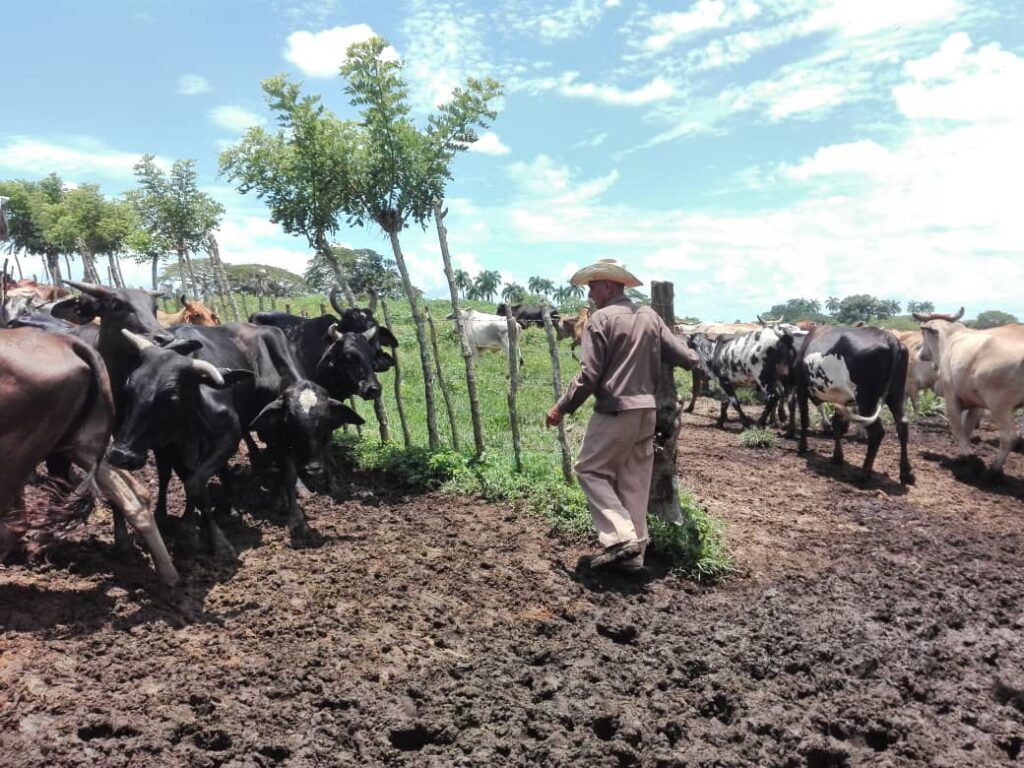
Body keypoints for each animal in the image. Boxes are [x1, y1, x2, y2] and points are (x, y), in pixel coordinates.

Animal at [0, 327, 178, 585]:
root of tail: (67, 342)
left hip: (18, 449)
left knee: (15, 522)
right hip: (83, 445)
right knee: (135, 495)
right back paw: (167, 573)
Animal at [790, 325, 913, 483]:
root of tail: (890, 338)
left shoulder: (801, 387)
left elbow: (805, 419)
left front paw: (802, 446)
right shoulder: (840, 399)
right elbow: (837, 424)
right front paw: (837, 457)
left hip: (867, 398)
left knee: (877, 432)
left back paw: (863, 473)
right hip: (896, 393)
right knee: (902, 425)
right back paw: (906, 474)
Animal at [913, 309, 1024, 479]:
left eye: (923, 332)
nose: (921, 354)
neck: (949, 339)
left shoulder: (951, 396)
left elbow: (957, 427)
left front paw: (966, 456)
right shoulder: (975, 403)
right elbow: (967, 428)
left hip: (999, 407)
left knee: (1009, 437)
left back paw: (995, 469)